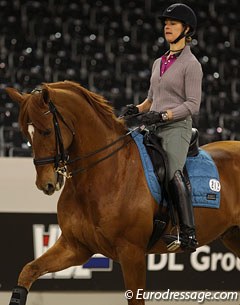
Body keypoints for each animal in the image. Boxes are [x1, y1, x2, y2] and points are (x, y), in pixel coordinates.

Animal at [5, 81, 240, 304]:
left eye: (46, 131)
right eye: (26, 134)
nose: (45, 183)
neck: (105, 173)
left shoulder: (131, 253)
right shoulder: (76, 247)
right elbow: (29, 271)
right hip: (233, 236)